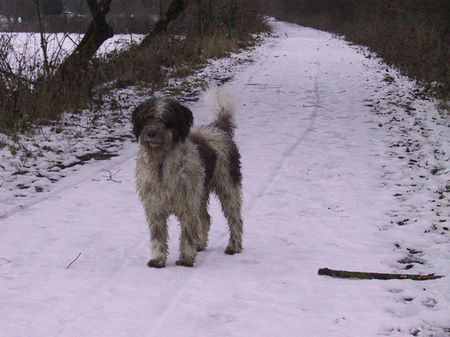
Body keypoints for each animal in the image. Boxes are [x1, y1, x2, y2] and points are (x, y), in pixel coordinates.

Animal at [132, 87, 243, 268]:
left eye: (166, 119)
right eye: (148, 118)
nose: (151, 133)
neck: (162, 163)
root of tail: (218, 128)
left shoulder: (187, 205)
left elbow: (187, 234)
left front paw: (186, 259)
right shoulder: (155, 206)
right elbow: (158, 236)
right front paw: (158, 259)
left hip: (227, 187)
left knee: (235, 219)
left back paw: (234, 246)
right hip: (201, 193)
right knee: (205, 218)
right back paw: (200, 244)